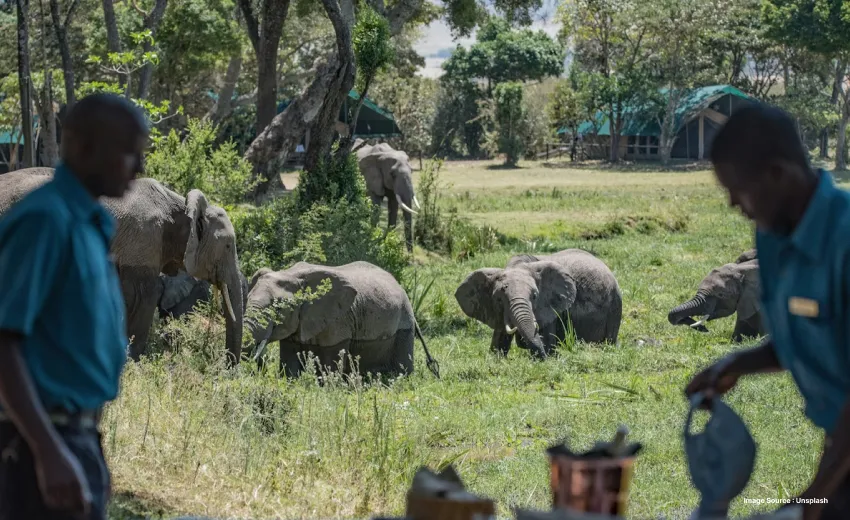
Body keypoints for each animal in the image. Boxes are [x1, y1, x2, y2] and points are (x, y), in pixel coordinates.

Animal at [0, 168, 244, 362]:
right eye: (228, 246)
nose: (227, 366)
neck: (179, 204)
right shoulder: (143, 240)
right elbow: (144, 295)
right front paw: (132, 361)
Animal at [244, 261, 438, 378]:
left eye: (278, 308)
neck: (291, 274)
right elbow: (290, 360)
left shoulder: (339, 319)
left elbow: (332, 358)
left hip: (404, 322)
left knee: (401, 367)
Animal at [455, 249, 622, 359]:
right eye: (498, 299)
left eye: (534, 296)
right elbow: (499, 340)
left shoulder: (550, 306)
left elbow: (547, 340)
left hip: (615, 305)